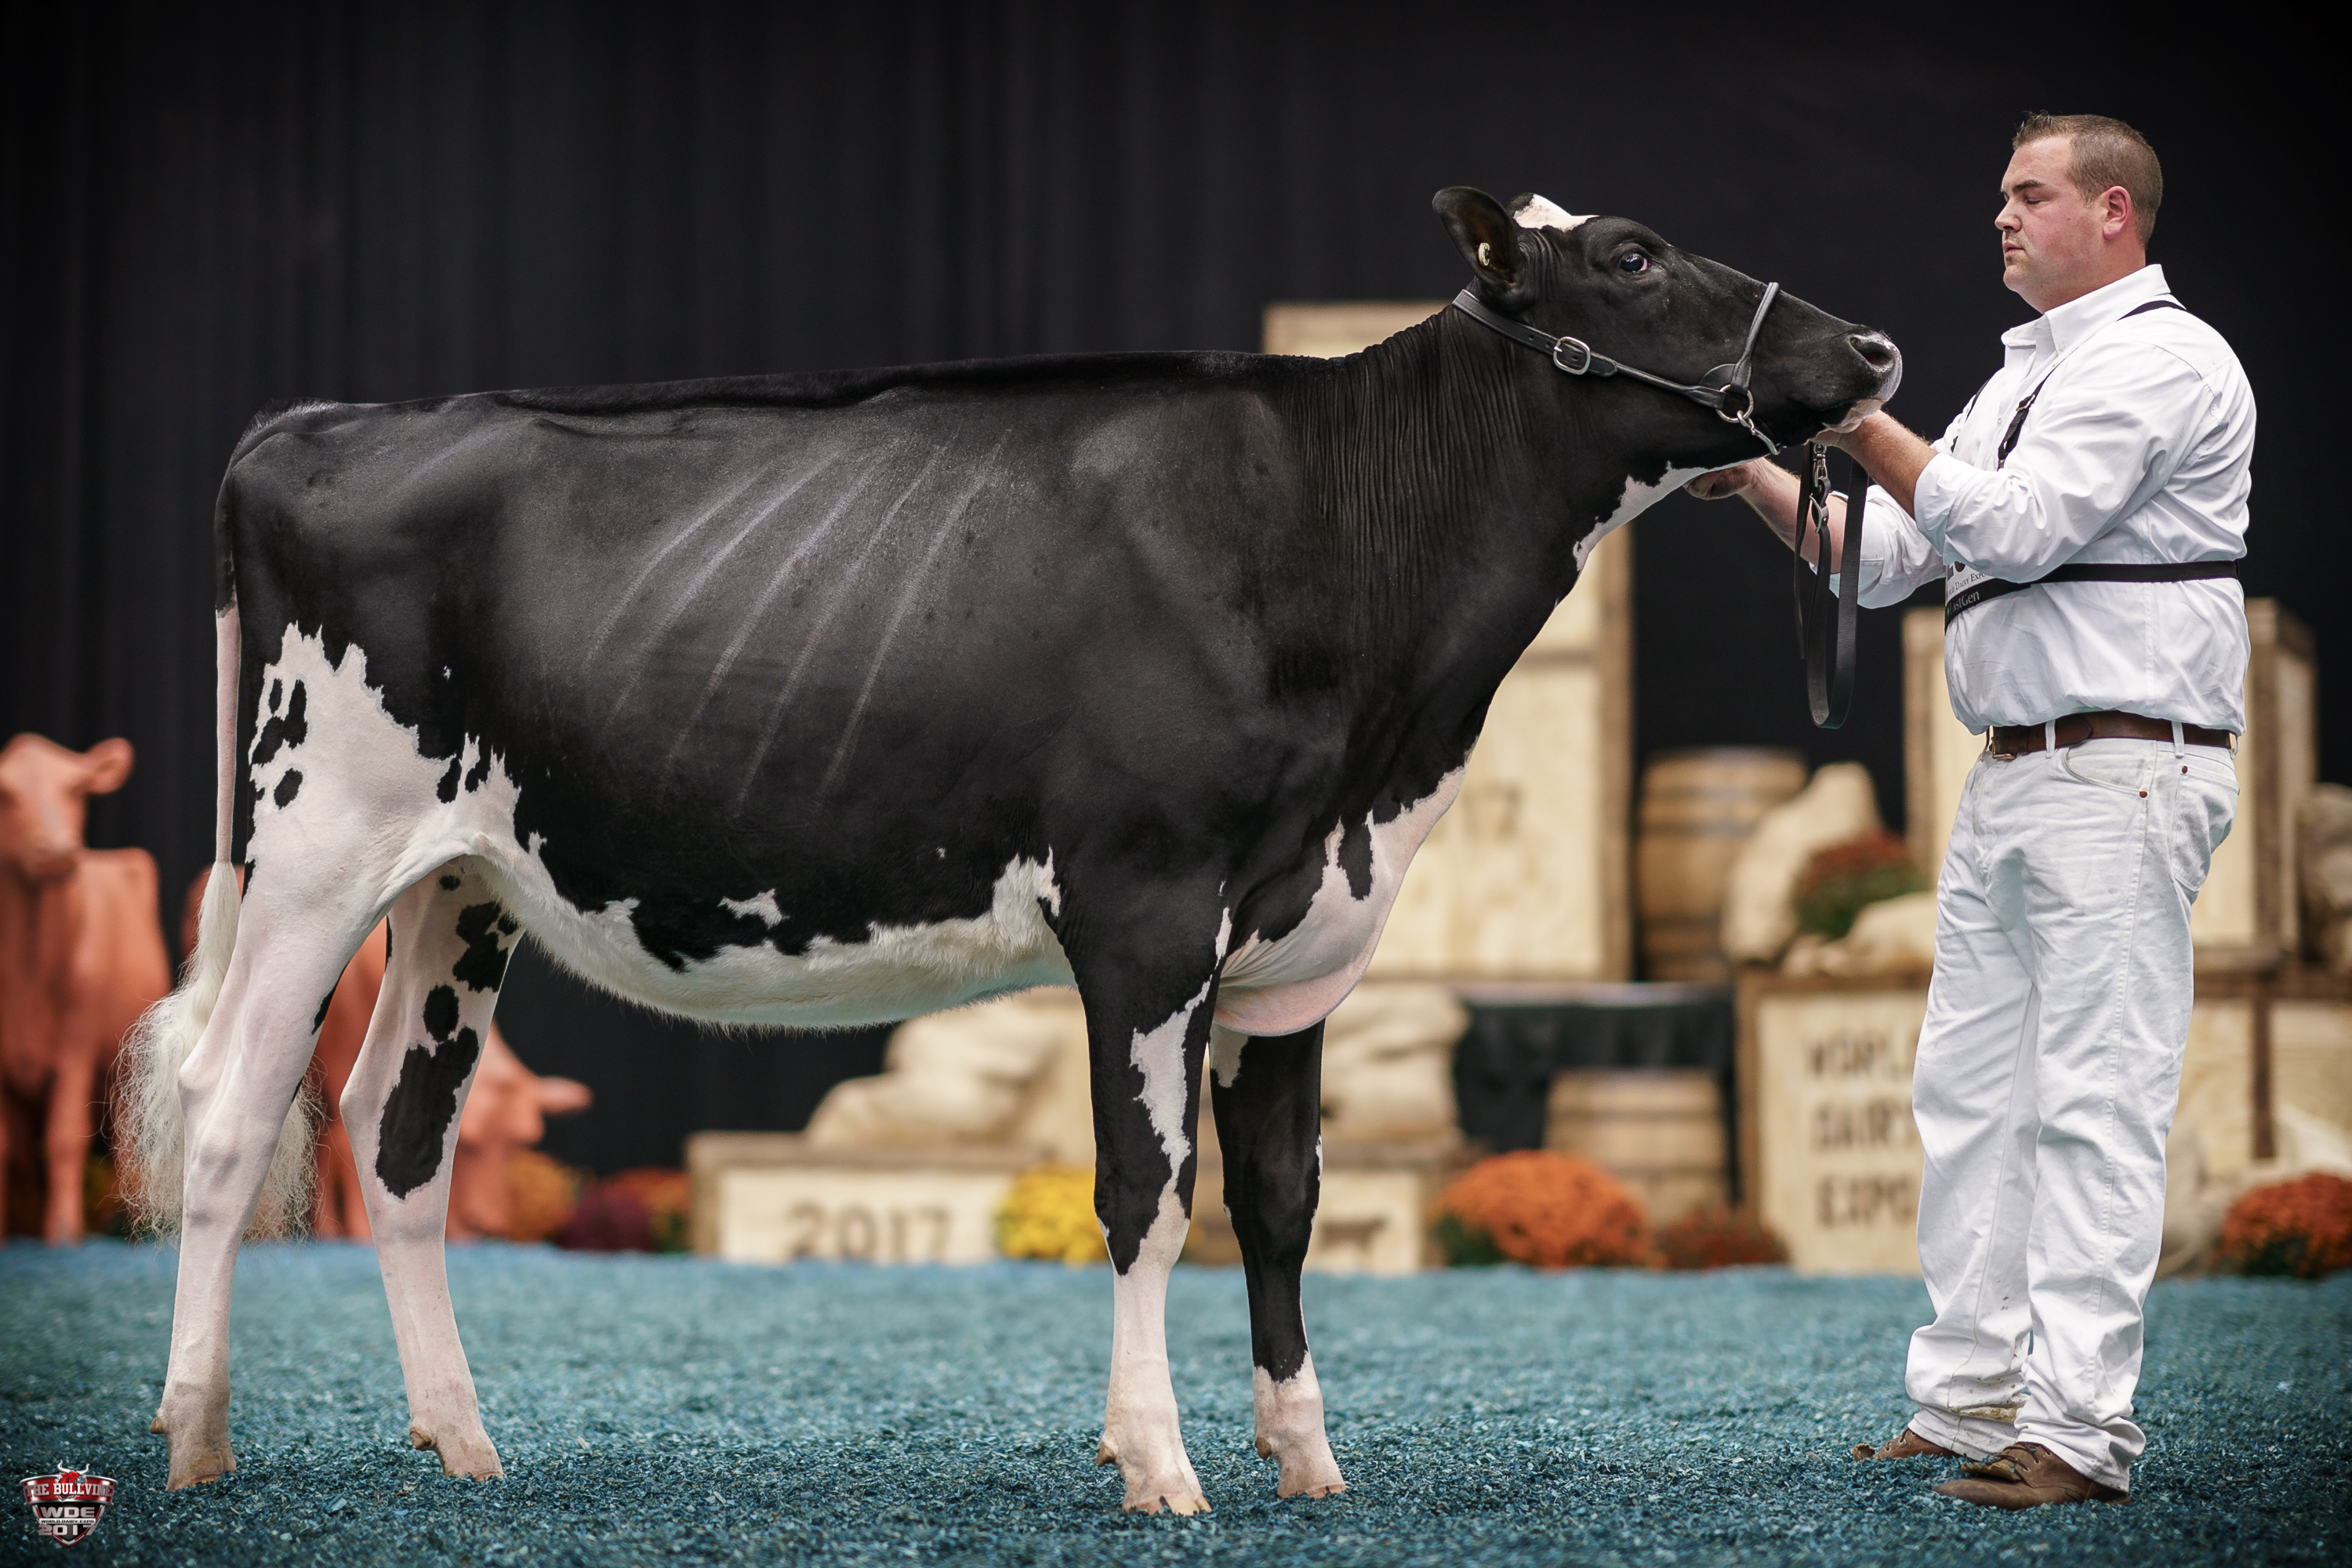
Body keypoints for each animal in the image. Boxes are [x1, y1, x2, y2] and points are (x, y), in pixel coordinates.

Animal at [0, 733, 171, 1243]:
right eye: (7, 794)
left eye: (76, 789)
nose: (57, 850)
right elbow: (5, 1145)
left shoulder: (76, 1043)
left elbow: (65, 1134)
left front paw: (62, 1232)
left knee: (125, 1143)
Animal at [125, 188, 1899, 1508]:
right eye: (1632, 255)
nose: (1876, 345)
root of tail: (316, 424)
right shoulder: (1149, 909)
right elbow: (1149, 1194)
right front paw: (1160, 1462)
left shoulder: (1301, 939)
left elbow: (1283, 1201)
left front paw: (1305, 1460)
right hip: (312, 846)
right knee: (232, 1107)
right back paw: (196, 1435)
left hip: (459, 883)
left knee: (395, 1130)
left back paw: (463, 1440)